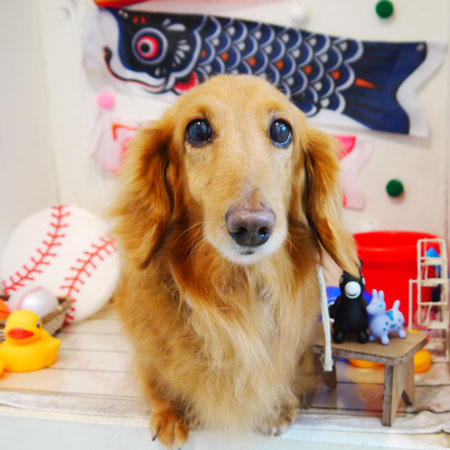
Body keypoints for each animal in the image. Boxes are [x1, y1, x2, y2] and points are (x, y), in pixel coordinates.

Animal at [111, 74, 358, 448]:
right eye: (198, 129)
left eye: (281, 130)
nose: (252, 227)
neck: (238, 288)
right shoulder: (146, 350)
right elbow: (156, 378)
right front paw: (170, 413)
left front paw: (277, 407)